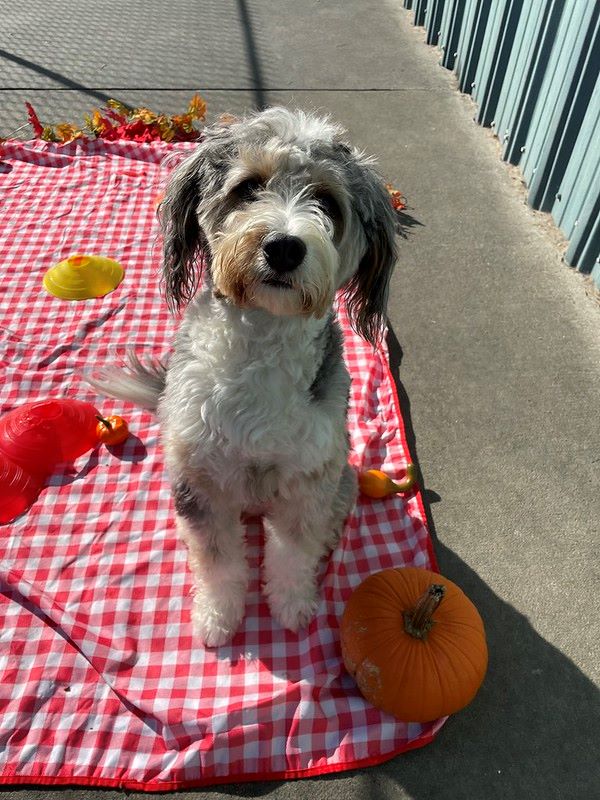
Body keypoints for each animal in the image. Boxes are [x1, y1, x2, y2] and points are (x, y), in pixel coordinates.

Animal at [89, 106, 396, 648]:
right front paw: (219, 616)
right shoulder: (200, 479)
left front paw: (292, 605)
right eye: (249, 187)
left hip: (343, 477)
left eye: (327, 201)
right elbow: (216, 560)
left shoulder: (309, 476)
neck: (263, 342)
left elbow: (294, 552)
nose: (284, 248)